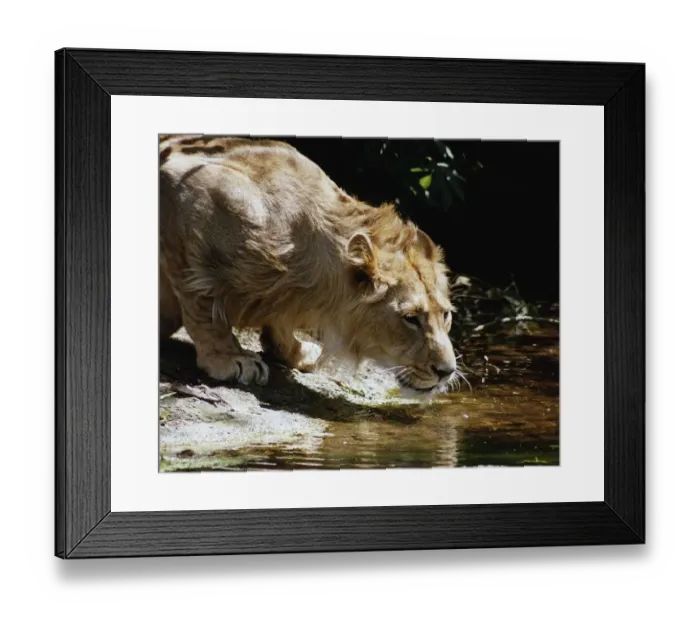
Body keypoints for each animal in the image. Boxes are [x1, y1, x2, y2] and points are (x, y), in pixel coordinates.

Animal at [159, 136, 457, 395]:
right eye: (410, 319)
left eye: (445, 315)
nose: (447, 372)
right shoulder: (190, 187)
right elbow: (203, 302)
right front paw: (228, 357)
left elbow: (279, 322)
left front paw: (297, 352)